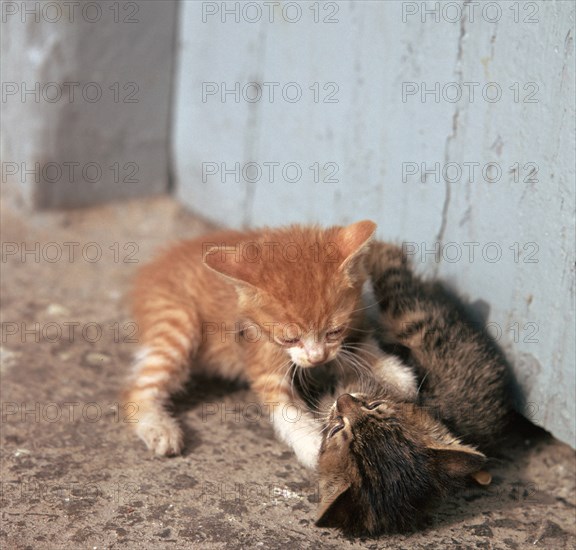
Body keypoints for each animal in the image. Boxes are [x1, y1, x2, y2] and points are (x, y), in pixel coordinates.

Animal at [124, 222, 416, 468]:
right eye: (289, 339)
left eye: (334, 331)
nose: (317, 358)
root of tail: (153, 268)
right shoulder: (263, 362)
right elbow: (287, 411)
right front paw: (314, 446)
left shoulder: (353, 322)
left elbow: (361, 347)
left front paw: (396, 375)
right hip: (179, 322)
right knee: (137, 391)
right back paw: (159, 428)